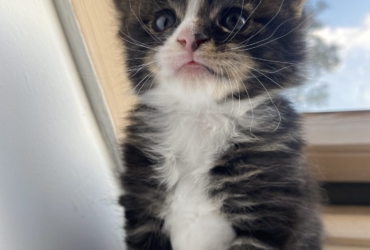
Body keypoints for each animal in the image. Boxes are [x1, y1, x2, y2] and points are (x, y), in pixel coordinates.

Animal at [114, 0, 322, 249]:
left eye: (234, 20)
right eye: (163, 21)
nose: (188, 39)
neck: (200, 115)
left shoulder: (269, 211)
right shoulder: (142, 209)